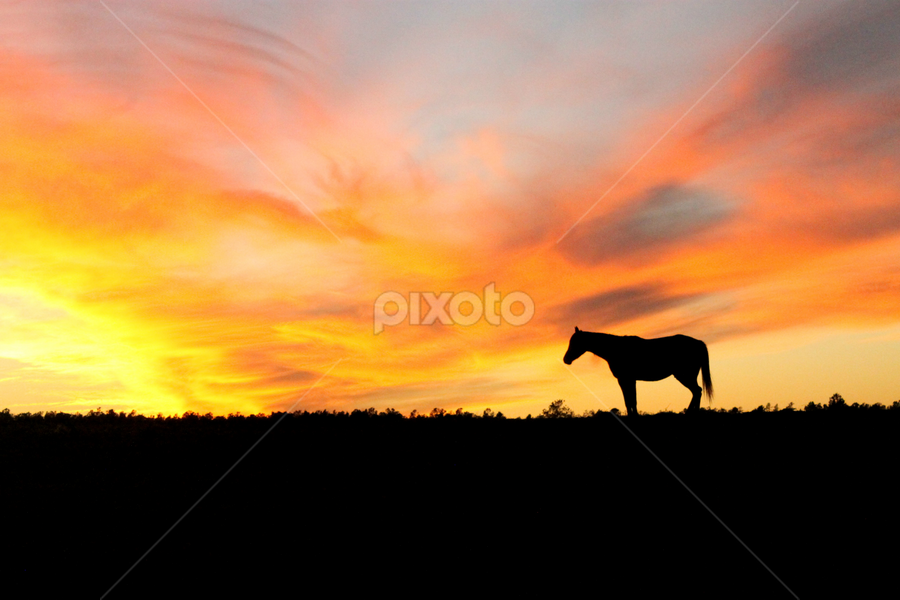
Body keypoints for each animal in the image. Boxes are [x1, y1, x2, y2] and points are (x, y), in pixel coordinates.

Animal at [563, 327, 712, 416]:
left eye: (575, 342)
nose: (566, 359)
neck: (615, 349)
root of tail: (698, 343)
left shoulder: (626, 379)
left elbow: (630, 400)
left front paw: (633, 416)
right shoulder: (628, 380)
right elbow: (630, 400)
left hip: (684, 375)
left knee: (697, 391)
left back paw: (690, 414)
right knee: (697, 391)